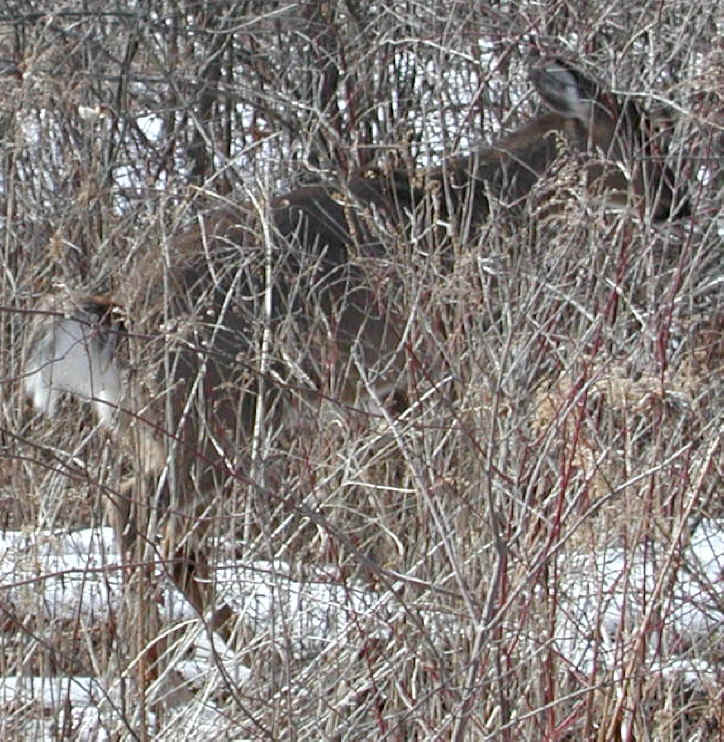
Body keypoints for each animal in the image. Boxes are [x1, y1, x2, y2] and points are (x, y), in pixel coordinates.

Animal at [23, 57, 690, 656]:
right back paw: (188, 663)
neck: (499, 204)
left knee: (146, 523)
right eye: (642, 142)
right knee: (143, 520)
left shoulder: (397, 385)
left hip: (168, 422)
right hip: (213, 413)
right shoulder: (454, 358)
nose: (676, 206)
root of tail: (124, 316)